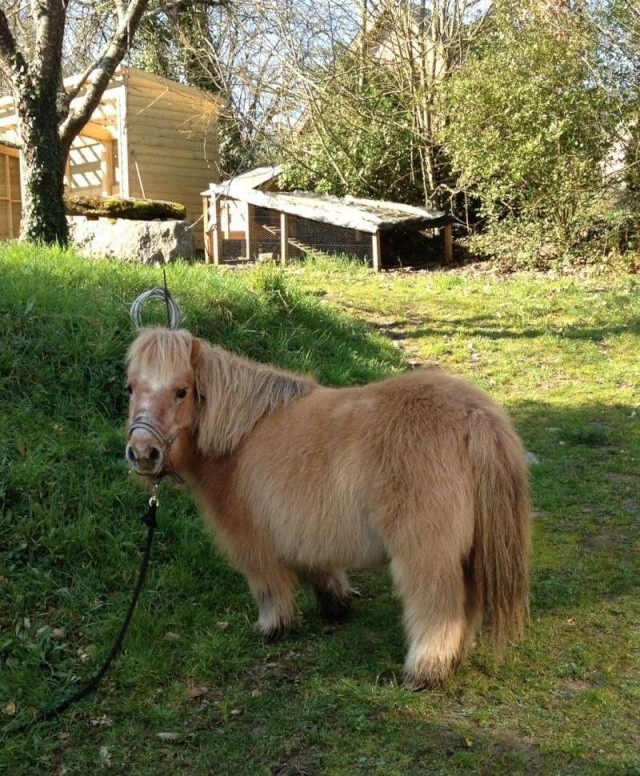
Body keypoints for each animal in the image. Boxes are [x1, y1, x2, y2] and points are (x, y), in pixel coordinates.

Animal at [125, 326, 528, 684]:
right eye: (130, 388)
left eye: (181, 391)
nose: (143, 453)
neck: (240, 437)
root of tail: (474, 416)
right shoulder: (304, 535)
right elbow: (321, 572)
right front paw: (336, 607)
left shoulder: (253, 545)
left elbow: (269, 588)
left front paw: (273, 628)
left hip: (426, 555)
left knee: (438, 607)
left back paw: (425, 670)